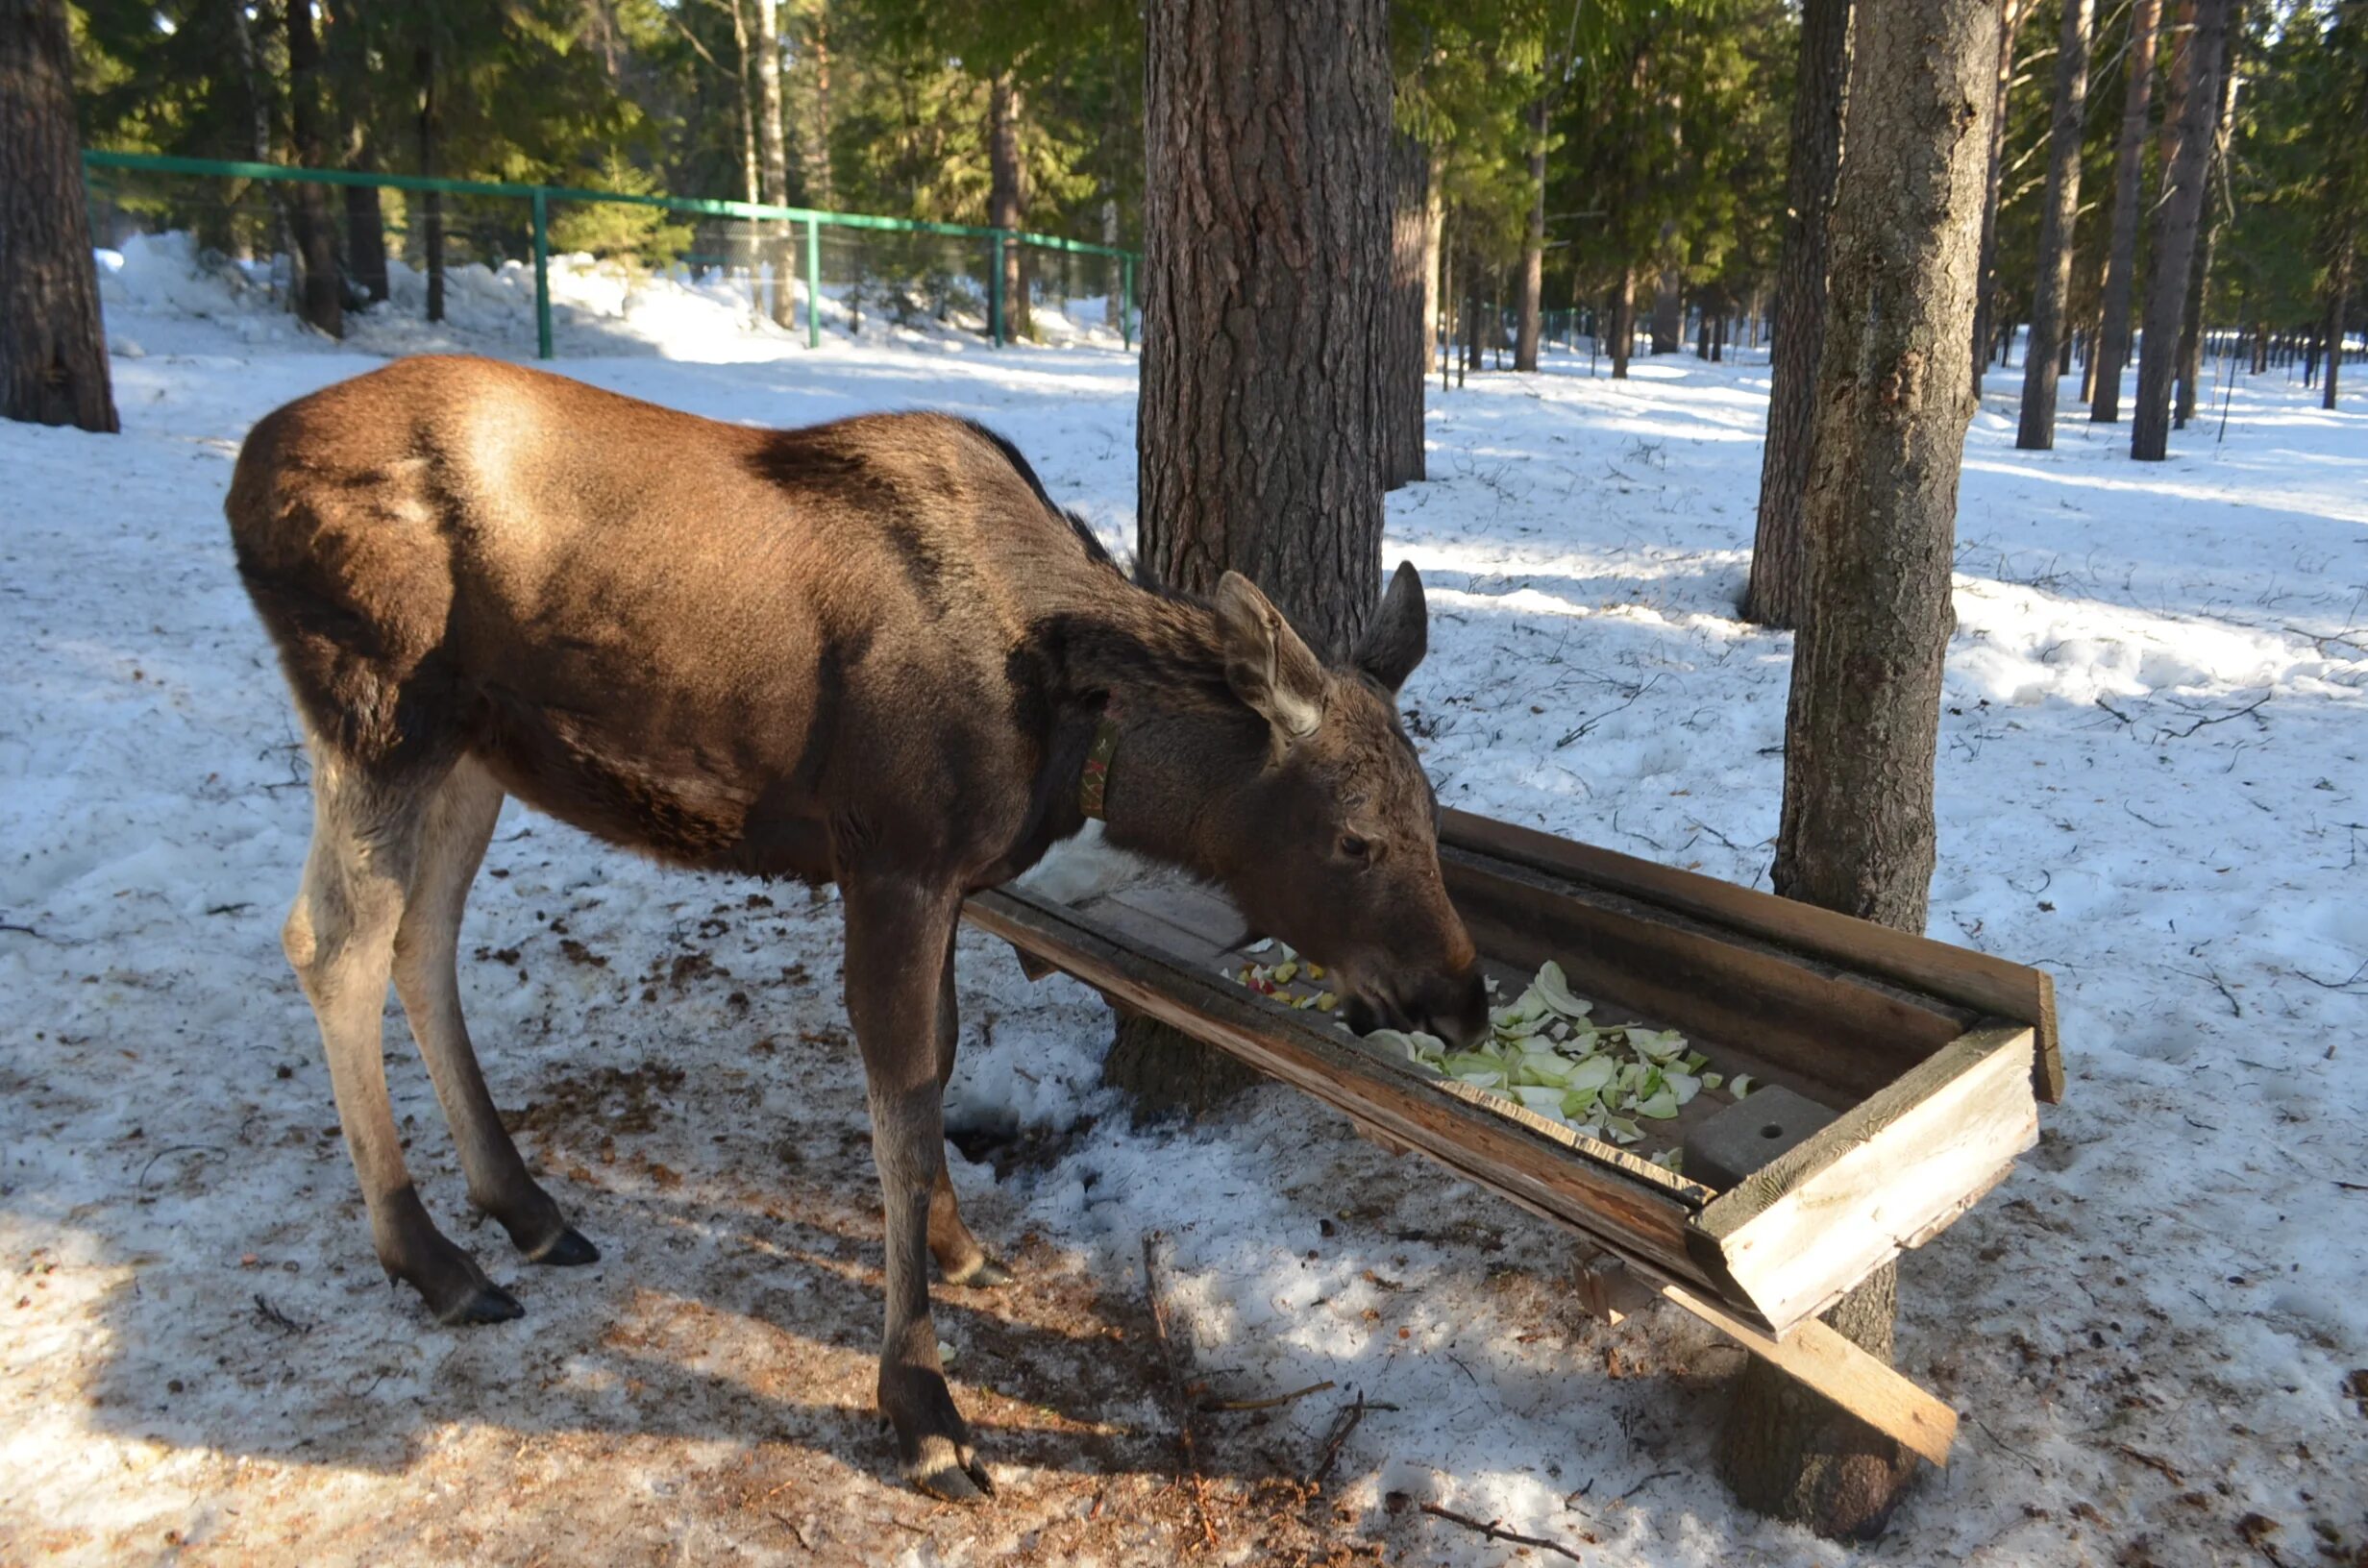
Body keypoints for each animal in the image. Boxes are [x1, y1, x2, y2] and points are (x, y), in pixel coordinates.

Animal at [226, 355, 1477, 1497]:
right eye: (1355, 837)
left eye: (1431, 815)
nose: (1460, 998)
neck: (1074, 743)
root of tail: (245, 474)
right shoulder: (892, 858)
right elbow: (903, 1105)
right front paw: (923, 1405)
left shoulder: (948, 879)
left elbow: (940, 1066)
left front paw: (962, 1251)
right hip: (380, 712)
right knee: (331, 946)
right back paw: (431, 1257)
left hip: (472, 750)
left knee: (421, 940)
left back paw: (523, 1208)